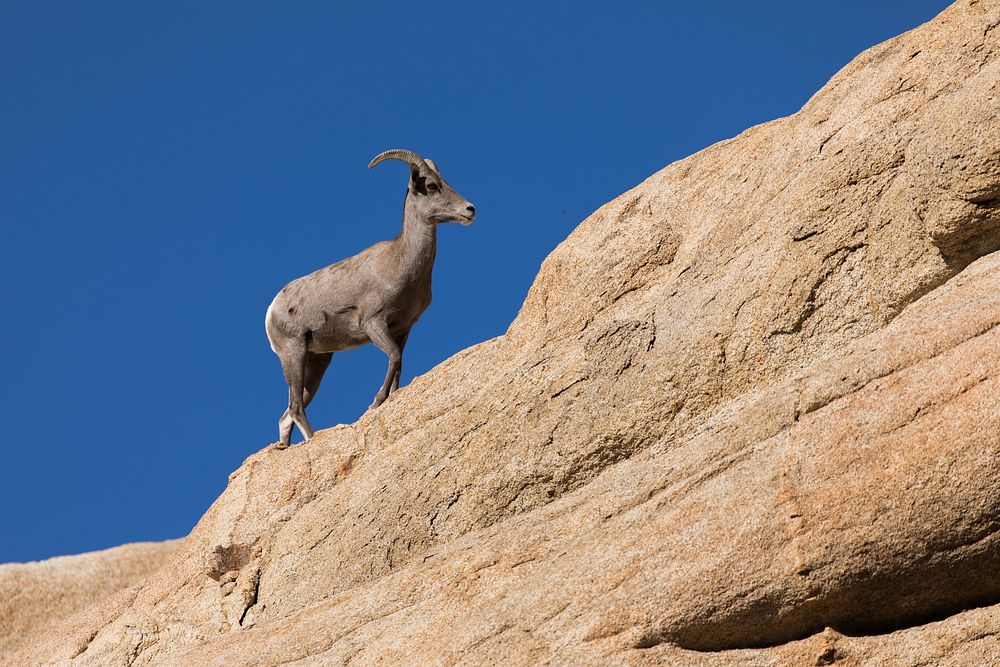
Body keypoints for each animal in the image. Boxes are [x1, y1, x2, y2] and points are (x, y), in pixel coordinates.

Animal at [266, 149, 476, 446]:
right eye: (432, 186)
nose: (470, 209)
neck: (401, 261)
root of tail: (272, 310)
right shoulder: (374, 324)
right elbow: (394, 358)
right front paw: (375, 403)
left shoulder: (403, 330)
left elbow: (398, 365)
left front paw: (388, 398)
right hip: (293, 353)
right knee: (295, 409)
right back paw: (313, 439)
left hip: (317, 362)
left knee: (287, 415)